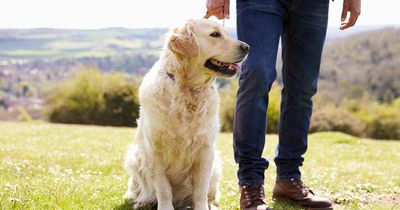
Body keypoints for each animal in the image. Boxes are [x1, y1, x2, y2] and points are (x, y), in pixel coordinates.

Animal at [125, 18, 250, 209]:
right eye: (215, 34)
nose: (247, 47)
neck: (187, 90)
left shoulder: (205, 150)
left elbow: (200, 190)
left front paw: (202, 207)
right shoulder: (155, 151)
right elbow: (162, 189)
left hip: (216, 163)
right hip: (135, 155)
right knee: (145, 188)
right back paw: (144, 201)